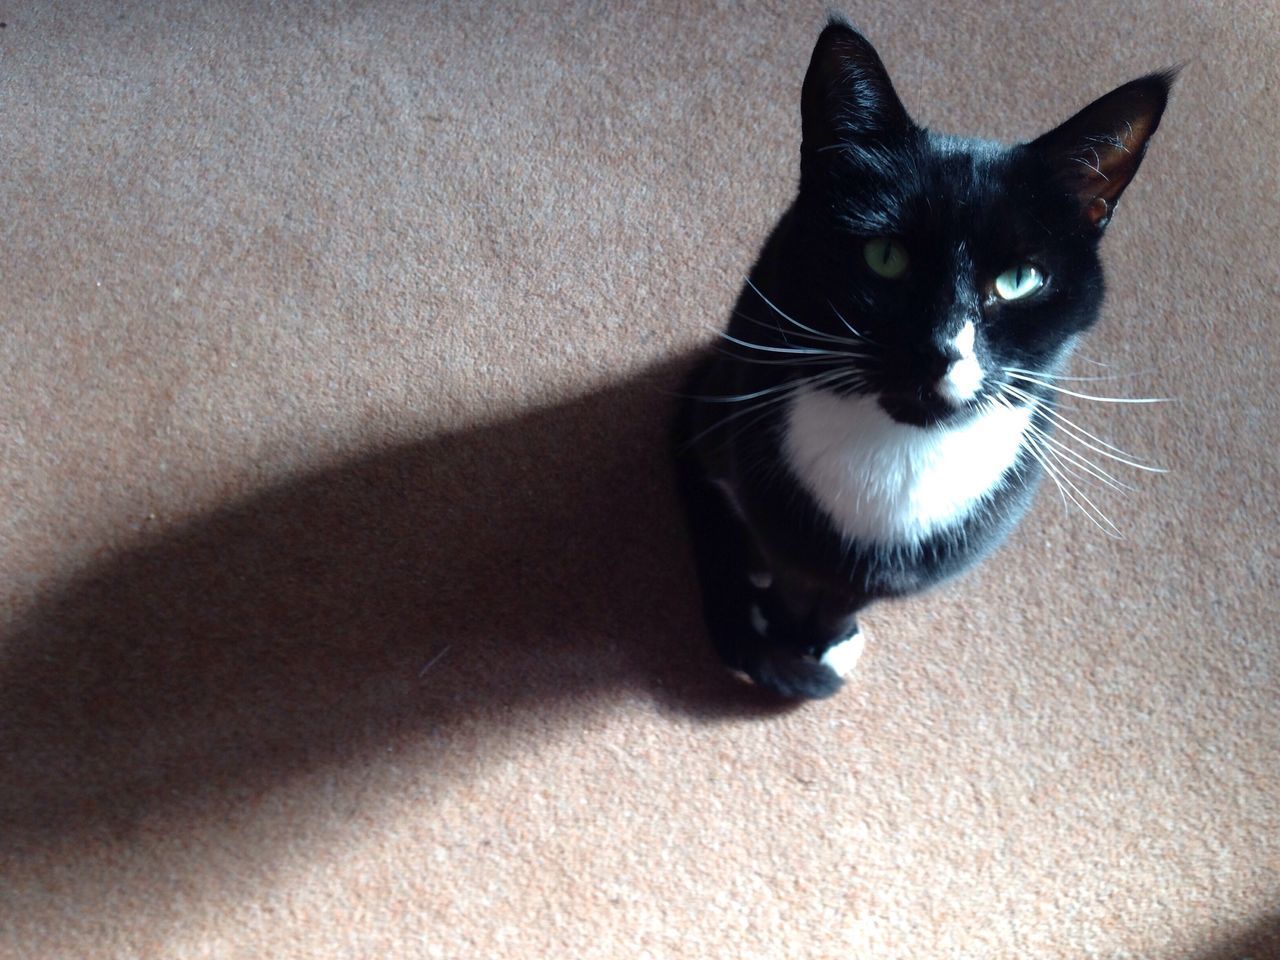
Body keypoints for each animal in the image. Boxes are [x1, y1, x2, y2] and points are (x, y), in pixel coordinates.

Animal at [675, 18, 1172, 701]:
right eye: (886, 257)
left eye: (1019, 280)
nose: (940, 349)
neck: (901, 459)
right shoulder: (776, 503)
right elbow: (792, 577)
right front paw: (788, 638)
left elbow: (847, 598)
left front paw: (828, 640)